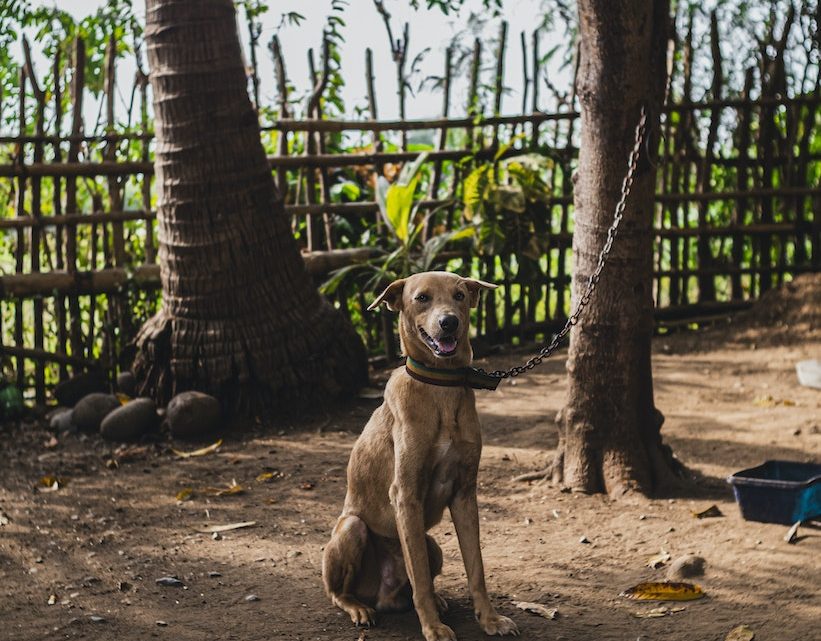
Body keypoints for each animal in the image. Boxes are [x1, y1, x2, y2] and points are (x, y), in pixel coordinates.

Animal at [322, 272, 520, 640]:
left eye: (459, 296)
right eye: (422, 298)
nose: (449, 322)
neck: (440, 388)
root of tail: (383, 594)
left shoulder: (465, 494)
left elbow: (476, 568)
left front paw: (489, 619)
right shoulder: (406, 494)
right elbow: (422, 581)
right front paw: (433, 628)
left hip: (432, 545)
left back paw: (436, 601)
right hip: (352, 529)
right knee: (339, 591)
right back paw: (359, 608)